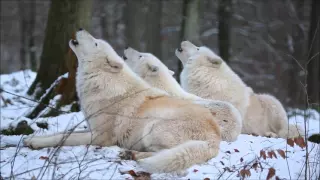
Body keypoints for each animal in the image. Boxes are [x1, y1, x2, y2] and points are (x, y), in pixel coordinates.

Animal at [23, 29, 221, 174]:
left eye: (95, 42)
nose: (81, 29)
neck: (101, 81)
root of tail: (215, 139)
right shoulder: (90, 127)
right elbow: (62, 133)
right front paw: (31, 139)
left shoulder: (99, 136)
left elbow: (63, 138)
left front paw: (35, 143)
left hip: (152, 128)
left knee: (164, 154)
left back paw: (133, 154)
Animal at [176, 41, 304, 139]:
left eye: (197, 48)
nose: (183, 41)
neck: (206, 79)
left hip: (272, 102)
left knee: (283, 132)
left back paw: (271, 134)